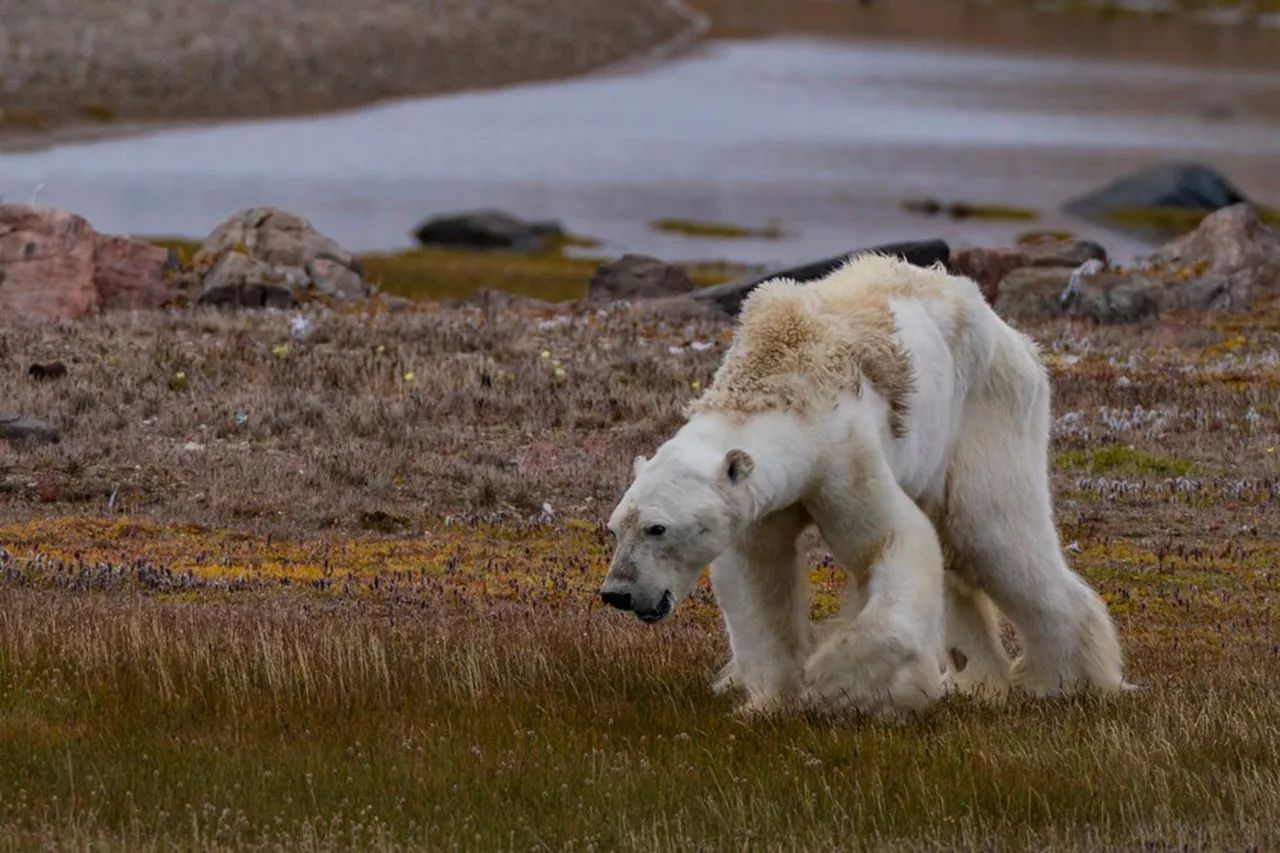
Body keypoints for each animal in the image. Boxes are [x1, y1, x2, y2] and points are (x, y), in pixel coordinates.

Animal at [599, 252, 1121, 712]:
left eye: (658, 528)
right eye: (616, 527)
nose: (617, 593)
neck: (779, 379)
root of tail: (1016, 337)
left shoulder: (843, 454)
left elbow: (891, 542)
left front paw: (836, 683)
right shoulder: (762, 501)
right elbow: (758, 576)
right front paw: (769, 700)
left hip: (985, 409)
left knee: (993, 535)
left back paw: (1065, 681)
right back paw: (976, 680)